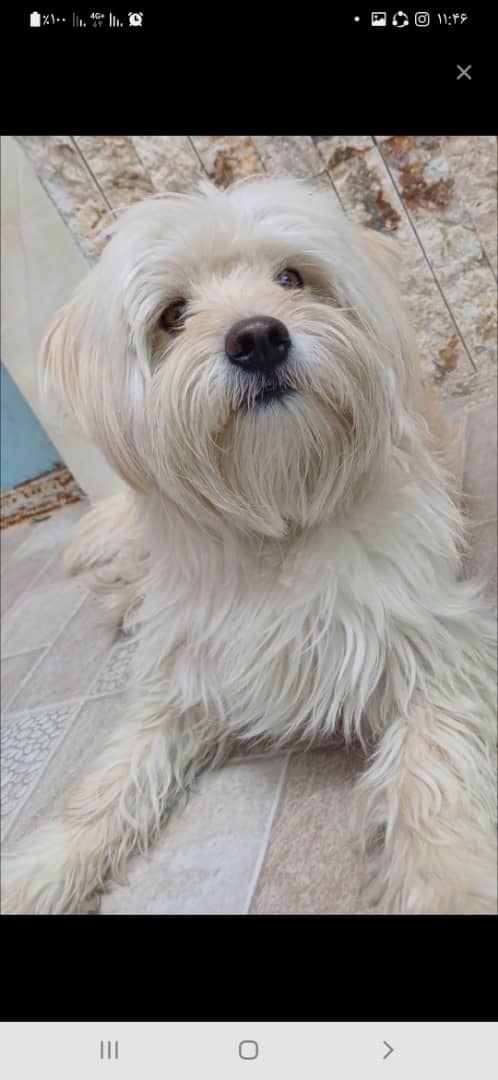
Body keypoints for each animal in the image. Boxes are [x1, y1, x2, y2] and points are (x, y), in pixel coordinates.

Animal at [2, 176, 496, 914]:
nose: (259, 338)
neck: (277, 515)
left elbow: (434, 782)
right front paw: (39, 871)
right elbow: (107, 783)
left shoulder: (437, 649)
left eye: (291, 277)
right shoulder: (182, 677)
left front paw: (448, 888)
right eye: (173, 315)